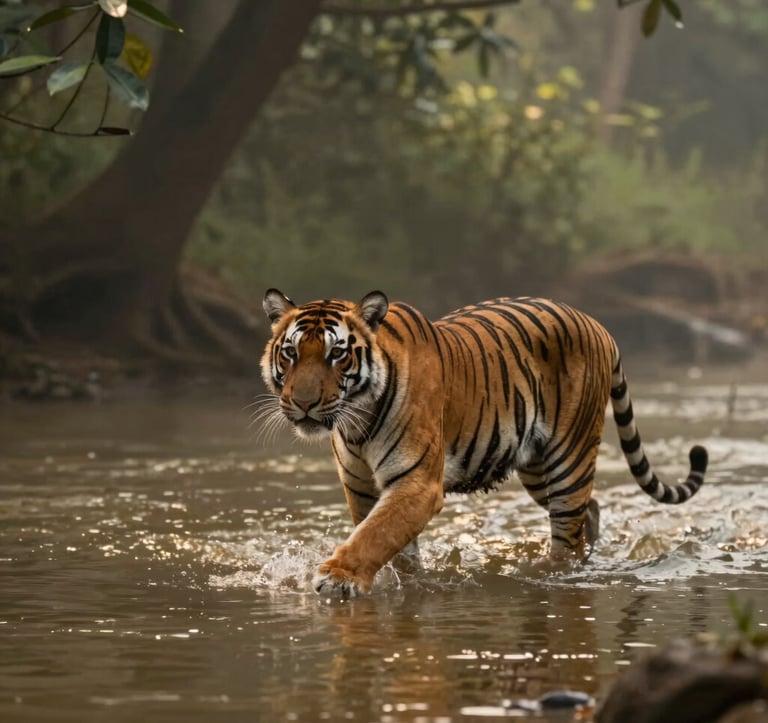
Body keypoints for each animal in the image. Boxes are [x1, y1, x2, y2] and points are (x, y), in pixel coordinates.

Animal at [259, 289, 707, 596]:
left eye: (336, 354)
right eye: (291, 353)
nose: (303, 403)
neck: (357, 421)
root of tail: (599, 326)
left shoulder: (417, 483)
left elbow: (376, 535)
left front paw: (338, 578)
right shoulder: (361, 487)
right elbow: (390, 541)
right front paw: (402, 582)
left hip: (569, 460)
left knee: (567, 536)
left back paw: (558, 572)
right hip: (538, 469)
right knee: (590, 510)